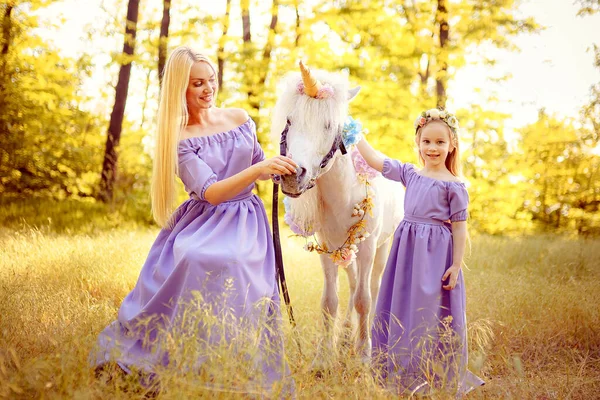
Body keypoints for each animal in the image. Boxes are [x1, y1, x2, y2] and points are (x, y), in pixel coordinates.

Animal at [272, 62, 404, 366]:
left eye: (329, 125)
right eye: (290, 121)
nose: (292, 175)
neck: (345, 192)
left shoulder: (368, 246)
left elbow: (364, 300)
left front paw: (364, 355)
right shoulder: (327, 247)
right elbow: (330, 302)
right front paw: (323, 357)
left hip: (380, 248)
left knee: (371, 287)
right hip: (347, 251)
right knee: (354, 284)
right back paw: (344, 338)